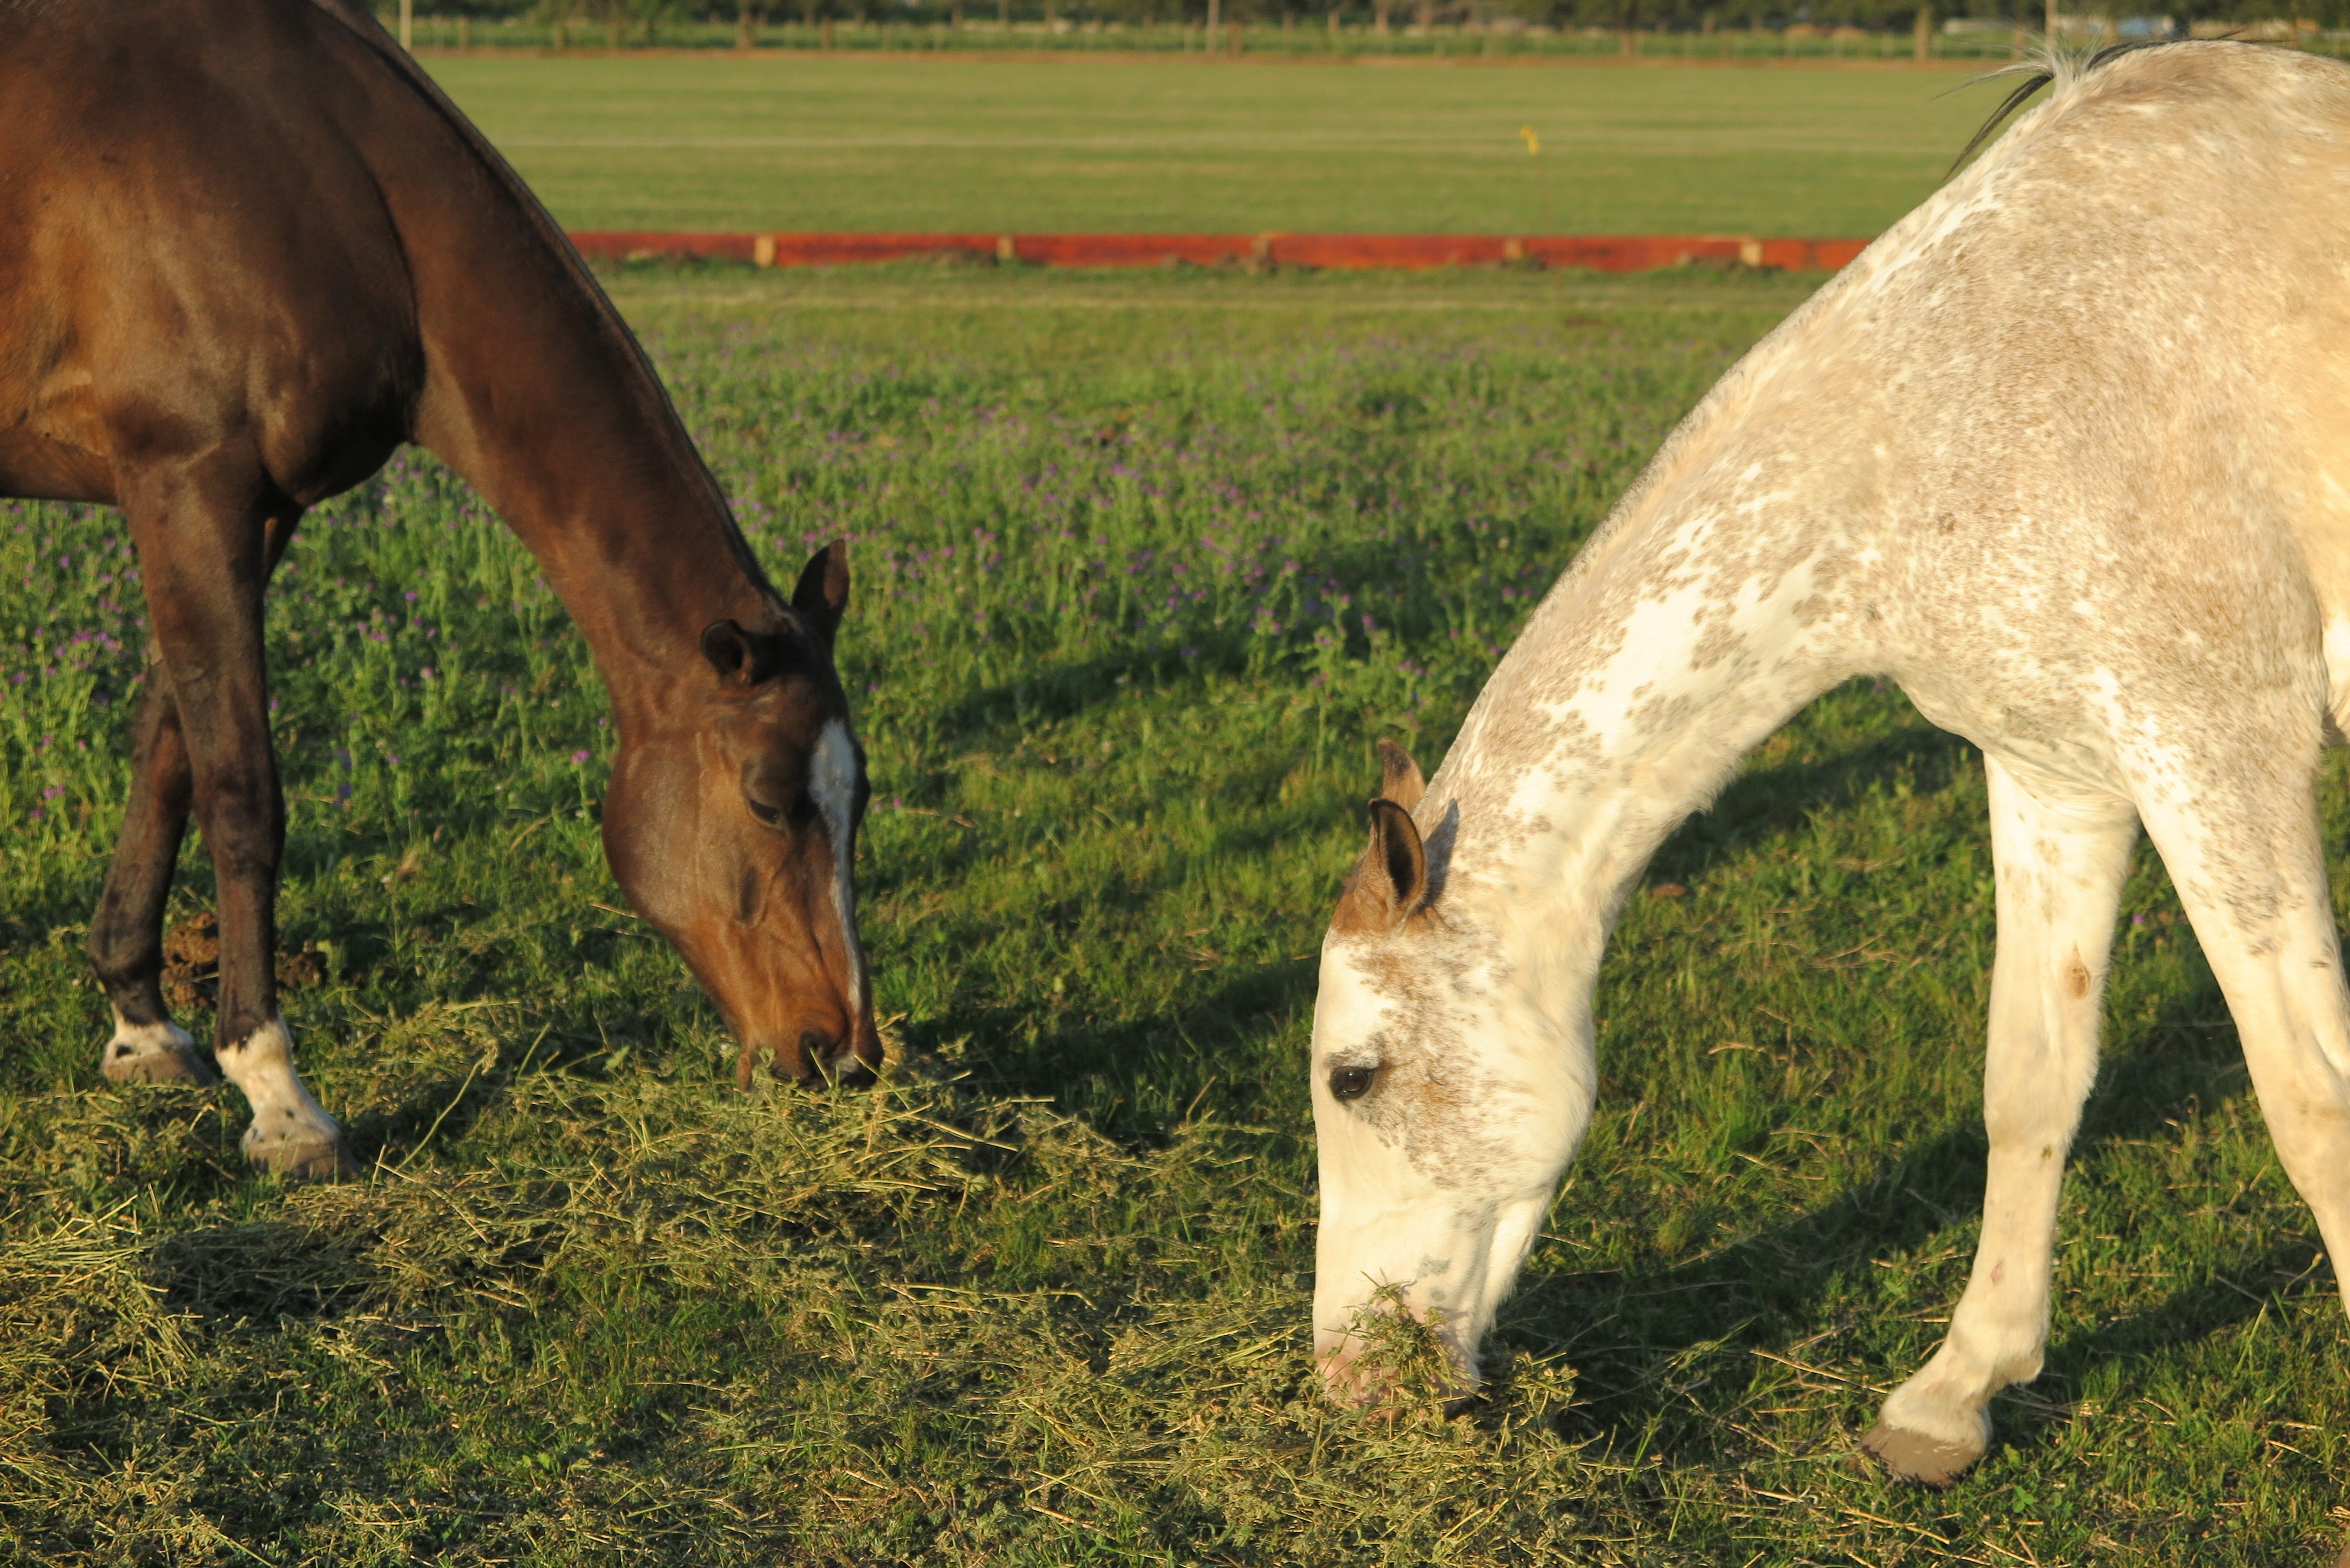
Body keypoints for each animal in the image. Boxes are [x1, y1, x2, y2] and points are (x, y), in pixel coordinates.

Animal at [0, 0, 878, 1180]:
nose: (843, 1050)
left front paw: (142, 1023)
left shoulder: (254, 507)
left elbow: (168, 749)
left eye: (857, 799)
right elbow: (242, 788)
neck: (316, 171)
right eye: (770, 800)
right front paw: (278, 1097)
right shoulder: (188, 483)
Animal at [1308, 40, 2350, 1486]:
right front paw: (1952, 1394)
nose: (1349, 1381)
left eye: (1354, 1077)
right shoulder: (2059, 776)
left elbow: (2313, 1108)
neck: (1973, 392)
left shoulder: (2217, 753)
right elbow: (2029, 1079)